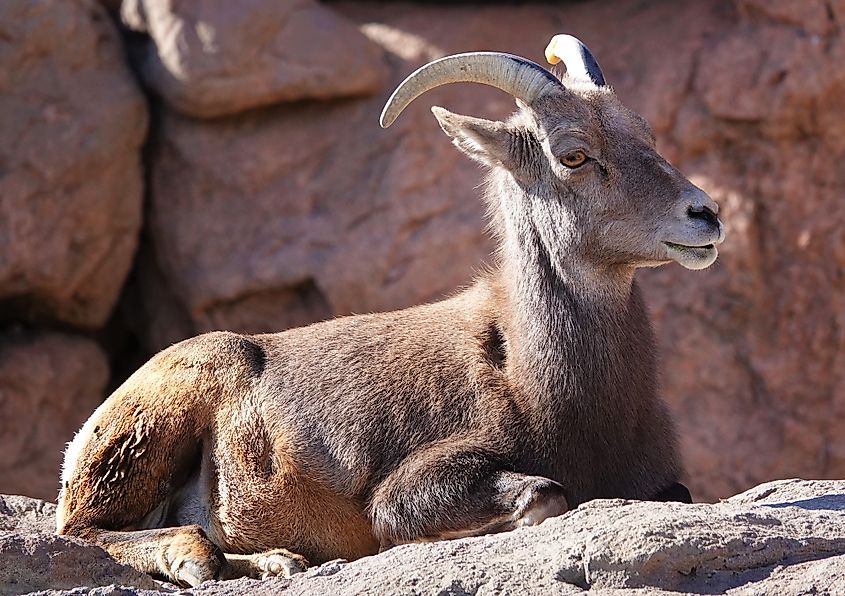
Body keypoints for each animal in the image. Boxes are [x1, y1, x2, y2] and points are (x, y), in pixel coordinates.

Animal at [56, 36, 724, 588]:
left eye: (645, 134)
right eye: (574, 155)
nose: (705, 215)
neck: (537, 379)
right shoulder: (417, 484)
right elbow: (543, 497)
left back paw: (277, 562)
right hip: (152, 429)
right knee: (85, 530)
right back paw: (195, 558)